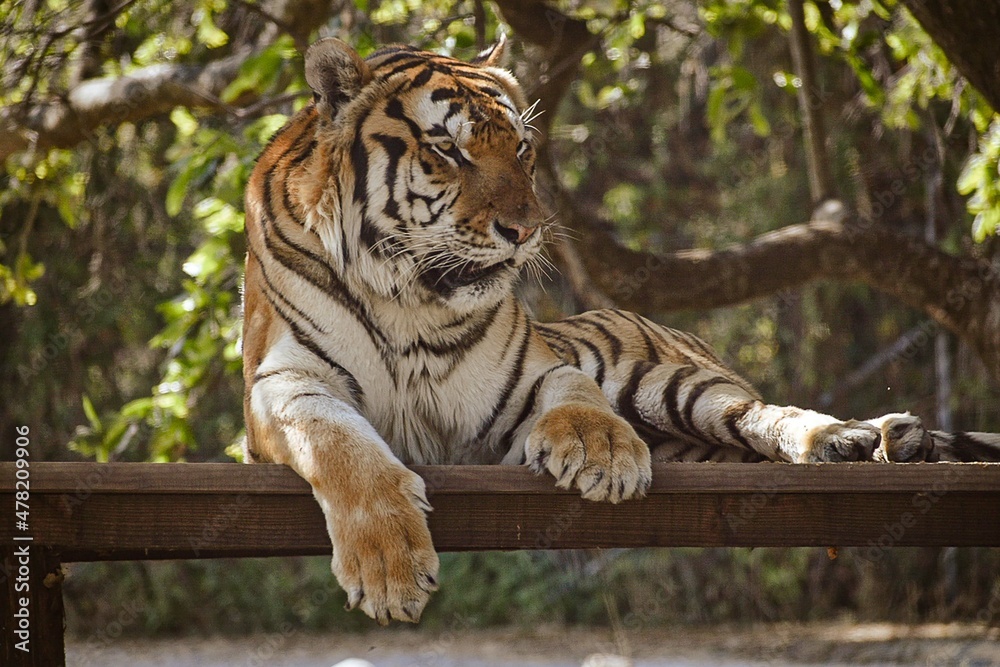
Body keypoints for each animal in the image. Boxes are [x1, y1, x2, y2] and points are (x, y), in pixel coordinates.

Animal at [241, 36, 1000, 625]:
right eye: (447, 150)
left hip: (671, 385)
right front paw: (389, 568)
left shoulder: (531, 374)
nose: (526, 230)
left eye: (522, 148)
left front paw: (602, 451)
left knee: (762, 413)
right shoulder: (285, 384)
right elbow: (343, 446)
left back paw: (851, 439)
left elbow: (577, 391)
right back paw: (891, 442)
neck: (411, 295)